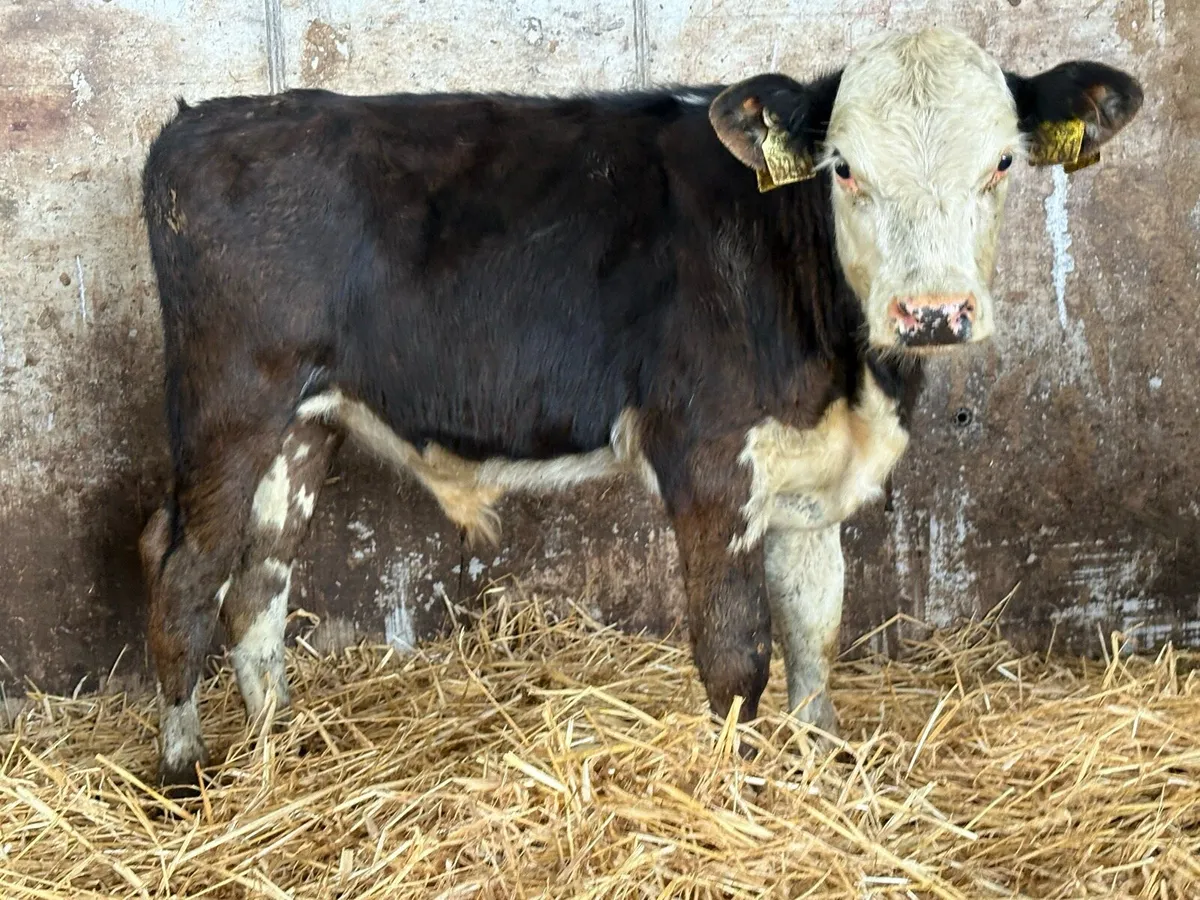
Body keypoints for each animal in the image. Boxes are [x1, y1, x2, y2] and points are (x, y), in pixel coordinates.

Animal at [138, 27, 1141, 787]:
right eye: (845, 169)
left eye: (1002, 161)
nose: (933, 312)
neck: (845, 368)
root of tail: (205, 121)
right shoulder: (707, 465)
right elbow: (736, 657)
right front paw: (737, 791)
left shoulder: (808, 476)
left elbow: (814, 634)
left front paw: (821, 768)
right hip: (230, 403)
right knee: (184, 578)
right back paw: (184, 775)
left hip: (304, 425)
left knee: (258, 586)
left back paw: (277, 750)